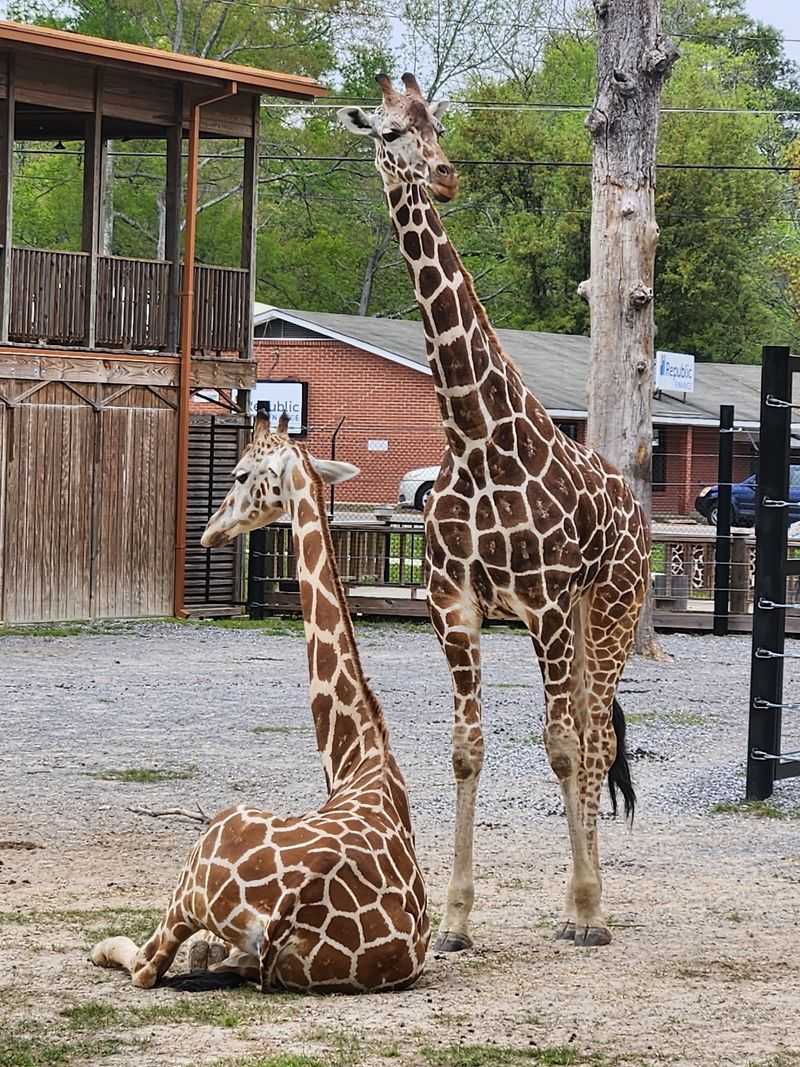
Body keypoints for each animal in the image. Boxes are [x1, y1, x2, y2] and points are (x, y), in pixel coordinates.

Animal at [90, 409, 429, 992]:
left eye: (241, 474)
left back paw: (104, 951)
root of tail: (293, 908)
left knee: (146, 966)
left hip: (201, 862)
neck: (358, 755)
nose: (211, 530)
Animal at [339, 74, 648, 953]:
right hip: (578, 617)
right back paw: (579, 902)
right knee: (592, 728)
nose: (444, 176)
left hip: (609, 605)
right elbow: (467, 749)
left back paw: (589, 909)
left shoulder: (541, 601)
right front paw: (452, 919)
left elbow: (562, 746)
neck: (474, 437)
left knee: (596, 731)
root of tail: (638, 509)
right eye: (390, 132)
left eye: (438, 126)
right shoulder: (455, 604)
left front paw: (586, 907)